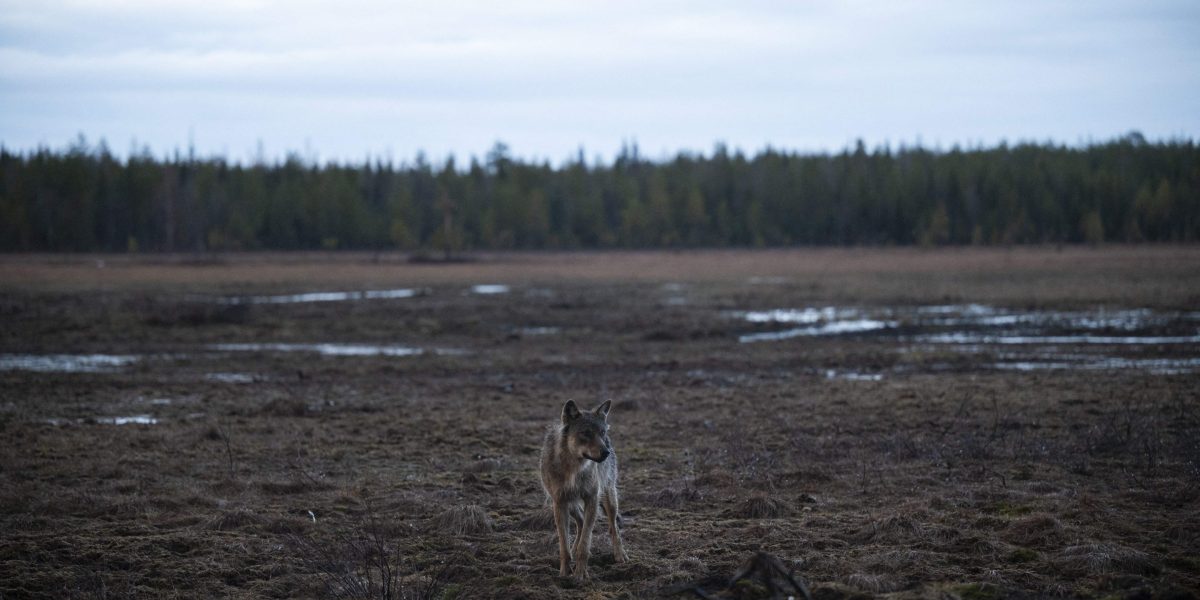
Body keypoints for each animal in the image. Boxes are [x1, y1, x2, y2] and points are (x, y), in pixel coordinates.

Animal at [538, 399, 628, 580]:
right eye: (586, 433)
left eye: (601, 432)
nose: (606, 452)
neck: (574, 468)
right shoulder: (559, 503)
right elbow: (563, 546)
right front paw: (564, 574)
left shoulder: (592, 499)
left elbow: (585, 544)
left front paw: (580, 575)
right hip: (571, 504)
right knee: (580, 521)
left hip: (609, 498)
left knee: (613, 527)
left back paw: (620, 555)